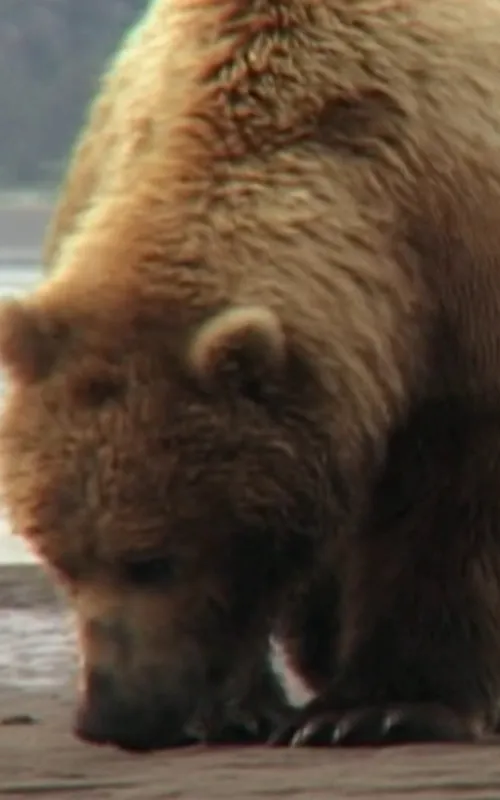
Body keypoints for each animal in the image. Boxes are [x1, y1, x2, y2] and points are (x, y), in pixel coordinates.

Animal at [2, 0, 500, 753]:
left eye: (154, 558)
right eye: (61, 558)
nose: (113, 716)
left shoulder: (459, 285)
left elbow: (446, 508)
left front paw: (381, 706)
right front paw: (241, 706)